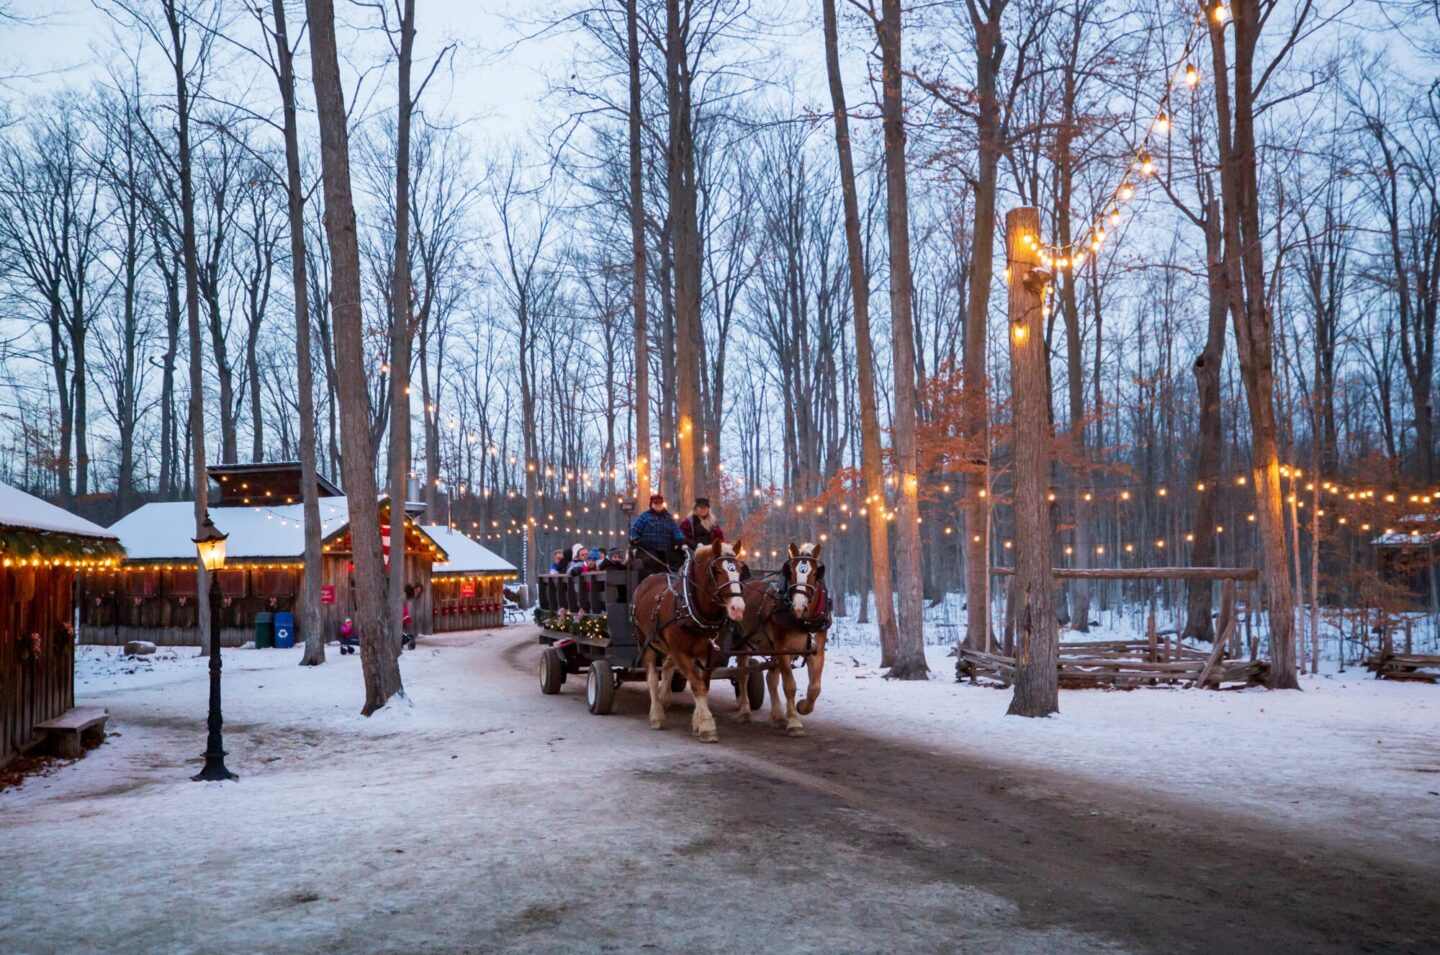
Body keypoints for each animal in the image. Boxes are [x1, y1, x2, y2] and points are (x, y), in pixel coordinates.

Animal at [630, 541, 743, 743]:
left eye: (739, 569)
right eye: (718, 571)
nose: (738, 608)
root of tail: (647, 580)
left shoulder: (709, 653)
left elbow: (703, 685)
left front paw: (697, 722)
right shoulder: (681, 652)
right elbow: (697, 685)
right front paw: (707, 726)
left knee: (667, 667)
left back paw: (664, 697)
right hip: (645, 642)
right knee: (652, 677)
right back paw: (657, 715)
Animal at [743, 541, 835, 734]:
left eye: (815, 574)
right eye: (790, 572)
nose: (798, 607)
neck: (803, 621)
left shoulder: (816, 650)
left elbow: (815, 687)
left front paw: (803, 707)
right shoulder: (782, 650)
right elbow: (790, 686)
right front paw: (793, 722)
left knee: (770, 679)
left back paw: (778, 716)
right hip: (743, 642)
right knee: (744, 675)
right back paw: (745, 711)